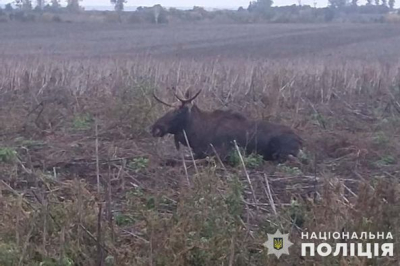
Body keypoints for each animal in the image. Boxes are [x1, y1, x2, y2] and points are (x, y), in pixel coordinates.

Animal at [152, 89, 302, 163]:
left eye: (177, 112)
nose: (154, 127)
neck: (197, 135)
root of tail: (300, 140)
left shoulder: (223, 152)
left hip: (282, 150)